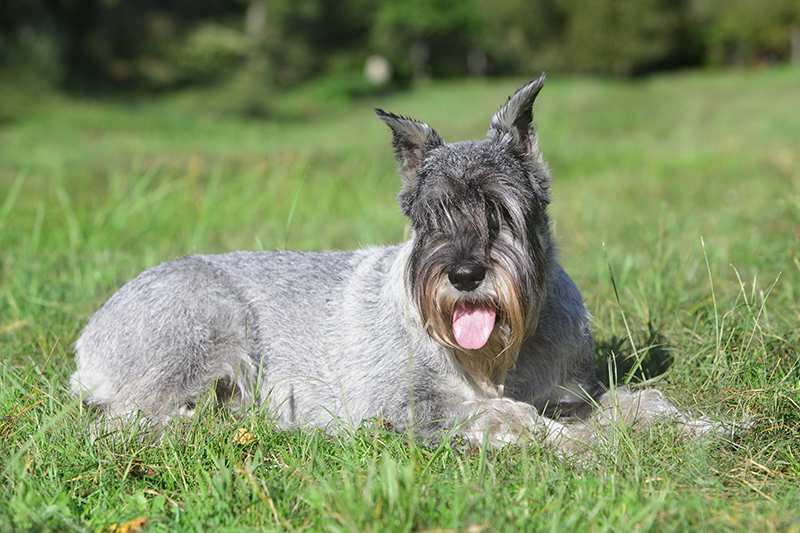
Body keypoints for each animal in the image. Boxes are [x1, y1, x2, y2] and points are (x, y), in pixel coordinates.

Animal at [70, 75, 724, 448]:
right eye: (428, 217)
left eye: (502, 209)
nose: (465, 274)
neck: (505, 357)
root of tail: (90, 333)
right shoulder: (408, 407)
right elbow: (511, 418)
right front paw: (590, 448)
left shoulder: (569, 389)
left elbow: (633, 402)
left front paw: (697, 427)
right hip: (208, 329)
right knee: (123, 422)